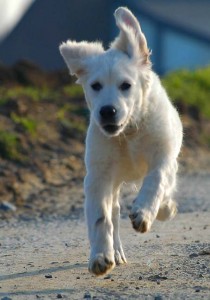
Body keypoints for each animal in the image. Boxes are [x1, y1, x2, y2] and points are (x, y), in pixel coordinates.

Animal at [59, 6, 182, 276]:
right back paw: (115, 251)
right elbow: (100, 217)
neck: (128, 134)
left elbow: (157, 180)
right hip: (113, 182)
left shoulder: (164, 156)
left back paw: (164, 208)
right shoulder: (99, 176)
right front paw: (100, 257)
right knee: (113, 212)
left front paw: (145, 213)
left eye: (126, 85)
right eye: (95, 86)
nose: (107, 111)